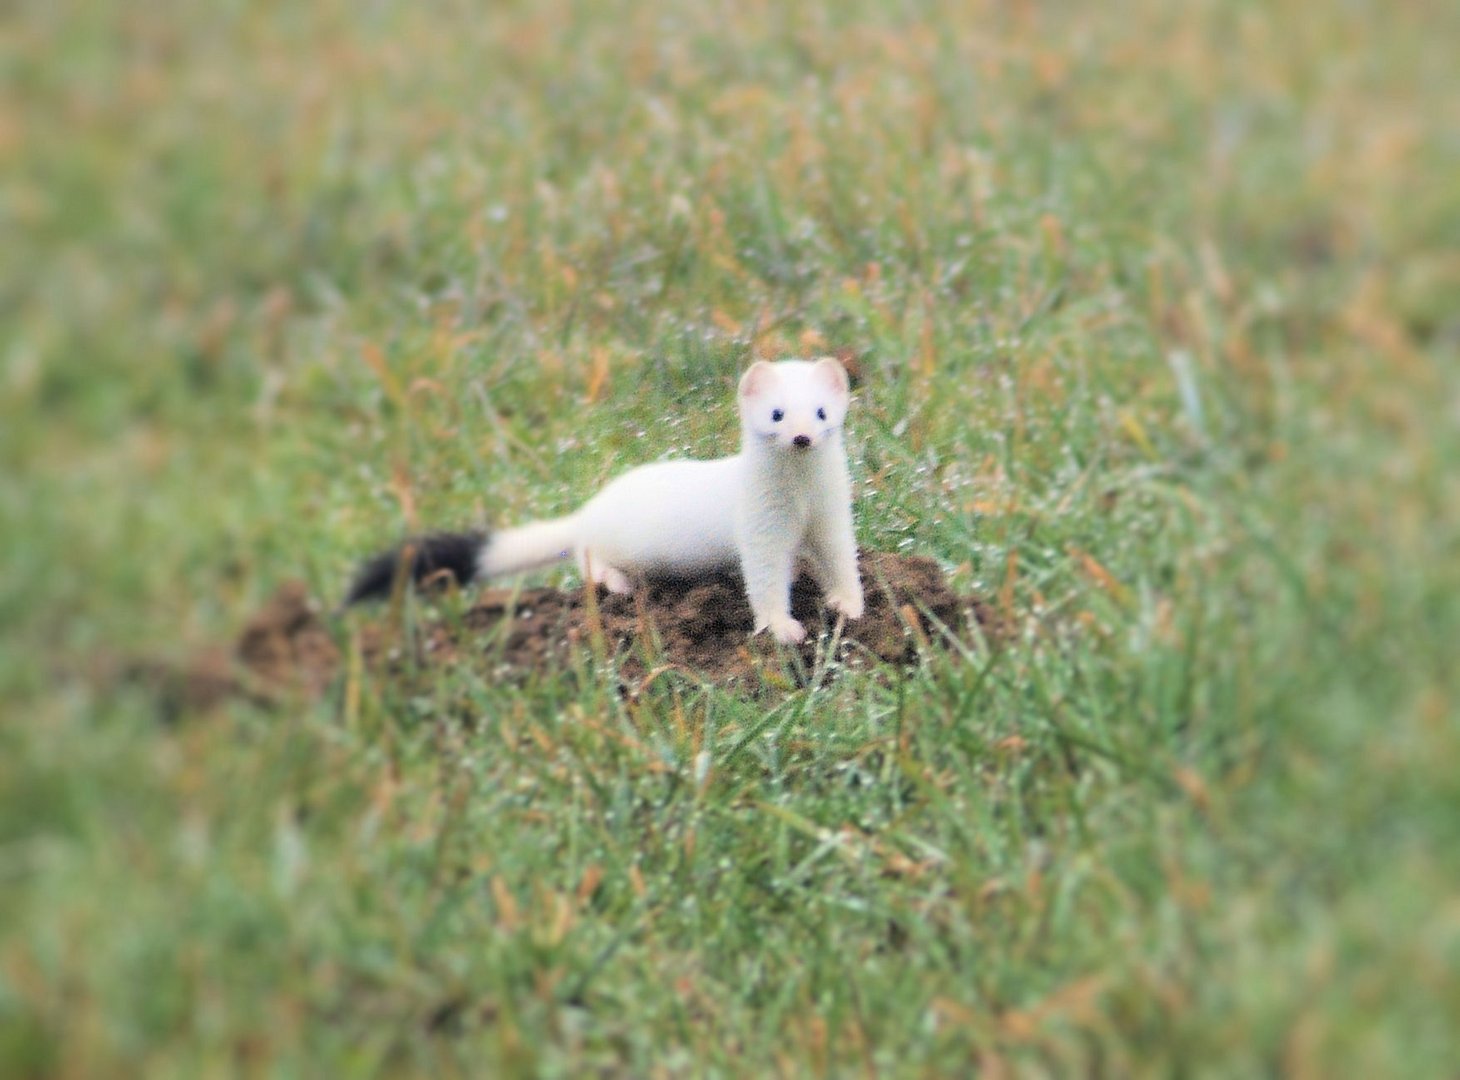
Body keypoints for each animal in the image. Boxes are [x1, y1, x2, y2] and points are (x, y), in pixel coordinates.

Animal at [346, 356, 858, 642]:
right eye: (776, 413)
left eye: (820, 412)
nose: (801, 437)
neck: (800, 501)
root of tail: (587, 511)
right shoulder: (758, 525)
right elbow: (766, 580)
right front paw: (784, 629)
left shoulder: (832, 513)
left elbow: (840, 558)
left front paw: (848, 606)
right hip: (601, 545)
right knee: (585, 559)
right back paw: (617, 582)